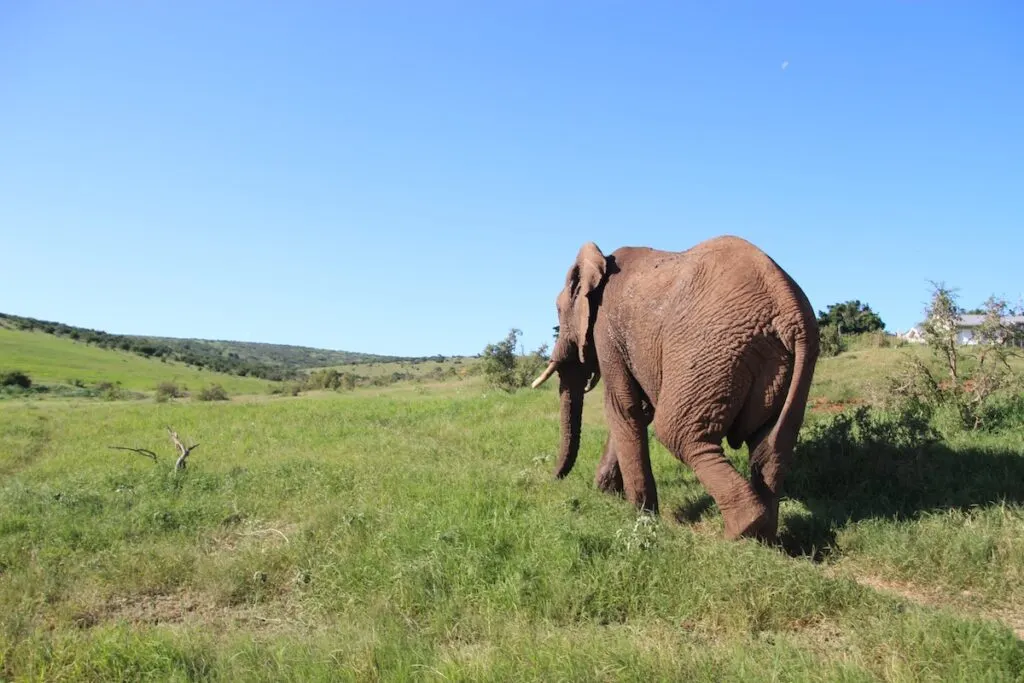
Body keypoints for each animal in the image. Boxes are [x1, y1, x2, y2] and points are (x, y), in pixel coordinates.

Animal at [532, 237, 819, 540]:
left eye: (558, 310)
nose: (553, 480)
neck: (602, 260)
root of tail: (789, 311)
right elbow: (639, 409)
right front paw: (607, 494)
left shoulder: (606, 327)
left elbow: (623, 407)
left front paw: (639, 516)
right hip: (787, 365)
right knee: (770, 446)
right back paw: (762, 539)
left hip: (711, 351)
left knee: (679, 434)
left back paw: (739, 533)